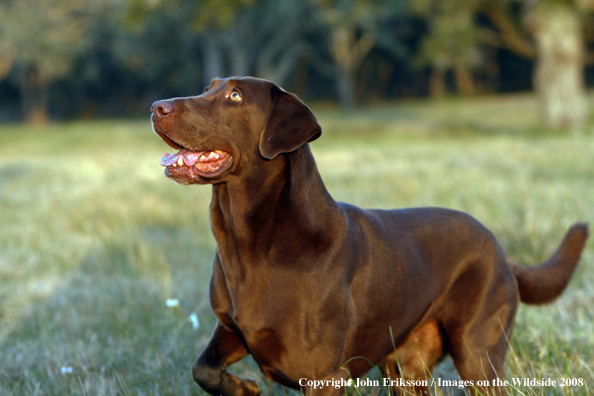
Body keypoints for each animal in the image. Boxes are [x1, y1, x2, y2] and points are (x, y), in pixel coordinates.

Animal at [149, 76, 588, 394]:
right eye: (208, 87)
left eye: (235, 96)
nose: (156, 107)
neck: (249, 240)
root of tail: (501, 249)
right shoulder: (232, 329)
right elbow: (201, 368)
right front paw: (243, 387)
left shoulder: (323, 377)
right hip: (405, 367)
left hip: (478, 351)